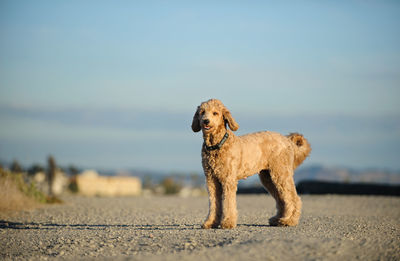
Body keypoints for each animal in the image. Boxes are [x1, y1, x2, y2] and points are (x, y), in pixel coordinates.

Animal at [192, 98, 310, 228]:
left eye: (215, 113)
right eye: (202, 112)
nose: (205, 121)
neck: (217, 144)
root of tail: (287, 140)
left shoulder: (228, 179)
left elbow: (228, 202)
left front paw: (228, 222)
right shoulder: (211, 179)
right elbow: (213, 202)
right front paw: (210, 222)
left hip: (281, 173)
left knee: (294, 198)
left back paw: (289, 220)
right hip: (268, 177)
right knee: (281, 199)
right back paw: (278, 219)